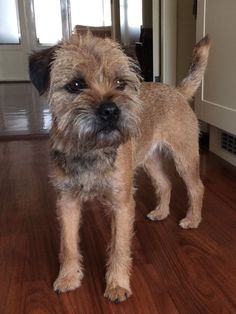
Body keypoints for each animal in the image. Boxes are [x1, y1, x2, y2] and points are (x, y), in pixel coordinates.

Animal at [28, 31, 211, 302]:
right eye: (76, 85)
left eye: (120, 83)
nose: (110, 111)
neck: (91, 148)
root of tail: (177, 91)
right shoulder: (67, 202)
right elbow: (68, 244)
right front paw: (69, 277)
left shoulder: (121, 204)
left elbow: (119, 247)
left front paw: (117, 285)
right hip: (150, 161)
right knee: (165, 183)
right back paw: (161, 212)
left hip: (184, 157)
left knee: (196, 188)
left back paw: (193, 219)